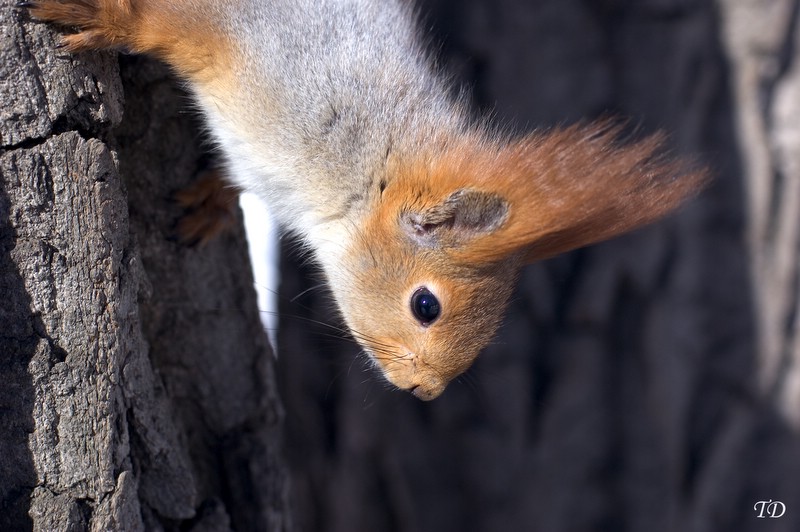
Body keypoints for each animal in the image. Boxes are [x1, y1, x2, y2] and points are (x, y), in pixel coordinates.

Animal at [25, 0, 708, 400]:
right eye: (426, 306)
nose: (426, 392)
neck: (363, 163)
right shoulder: (262, 48)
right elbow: (158, 25)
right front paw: (103, 18)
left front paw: (214, 203)